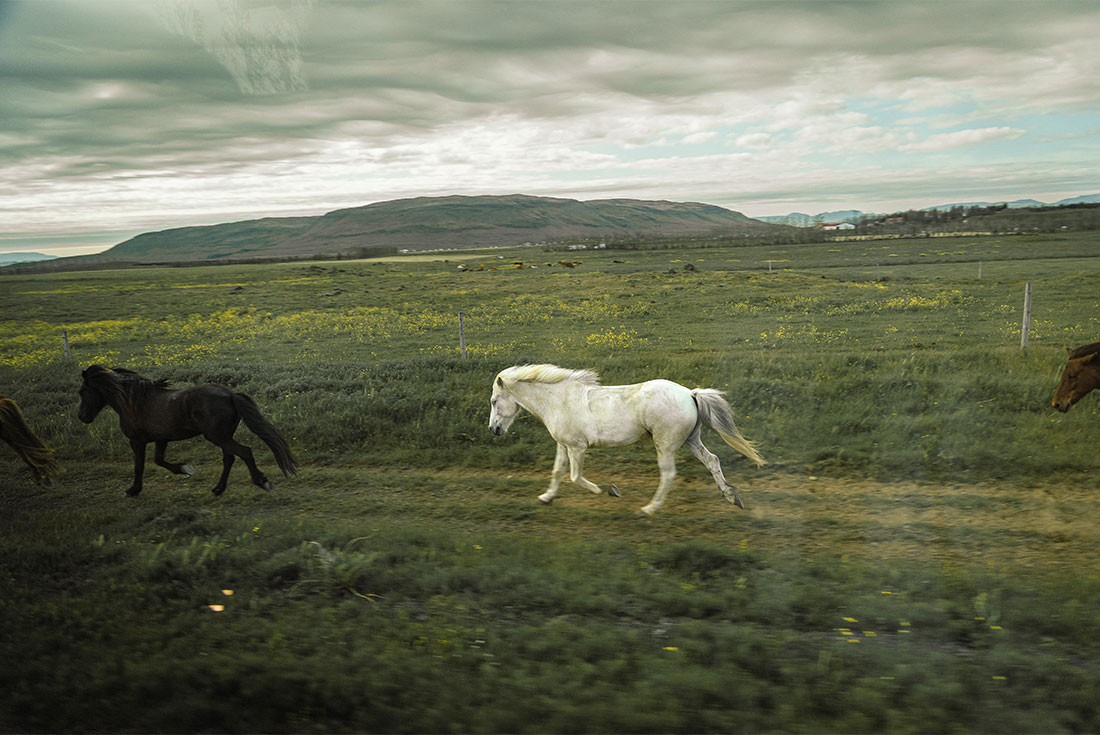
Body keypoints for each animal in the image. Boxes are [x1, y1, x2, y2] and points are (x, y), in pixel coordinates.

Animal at [77, 365, 297, 496]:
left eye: (83, 391)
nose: (82, 417)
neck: (133, 402)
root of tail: (230, 394)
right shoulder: (161, 439)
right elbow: (159, 460)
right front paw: (185, 469)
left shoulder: (137, 441)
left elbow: (139, 466)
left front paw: (133, 490)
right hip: (223, 436)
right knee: (230, 458)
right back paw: (218, 489)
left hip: (217, 436)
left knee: (244, 452)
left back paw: (262, 482)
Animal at [488, 364, 765, 516]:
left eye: (493, 401)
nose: (493, 429)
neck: (559, 400)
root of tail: (690, 394)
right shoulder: (563, 445)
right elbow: (557, 472)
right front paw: (546, 498)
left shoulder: (577, 448)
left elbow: (575, 477)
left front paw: (608, 490)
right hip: (691, 440)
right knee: (712, 461)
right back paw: (731, 497)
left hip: (665, 445)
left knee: (668, 474)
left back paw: (649, 509)